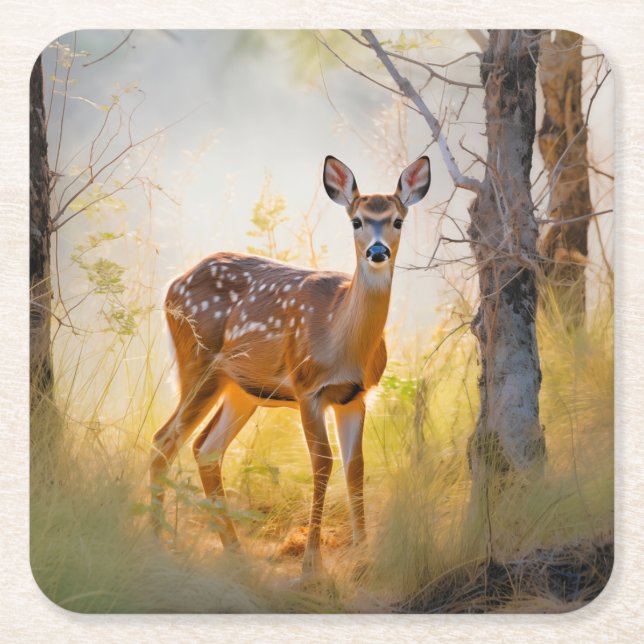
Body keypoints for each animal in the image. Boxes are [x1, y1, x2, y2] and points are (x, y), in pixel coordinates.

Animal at [150, 155, 431, 579]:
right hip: (197, 364)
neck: (340, 339)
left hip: (242, 389)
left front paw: (364, 557)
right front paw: (312, 566)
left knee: (206, 449)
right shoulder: (307, 387)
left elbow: (355, 467)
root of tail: (172, 285)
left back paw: (234, 553)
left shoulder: (356, 395)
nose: (378, 251)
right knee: (163, 441)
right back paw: (156, 544)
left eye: (398, 220)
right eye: (357, 220)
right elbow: (323, 464)